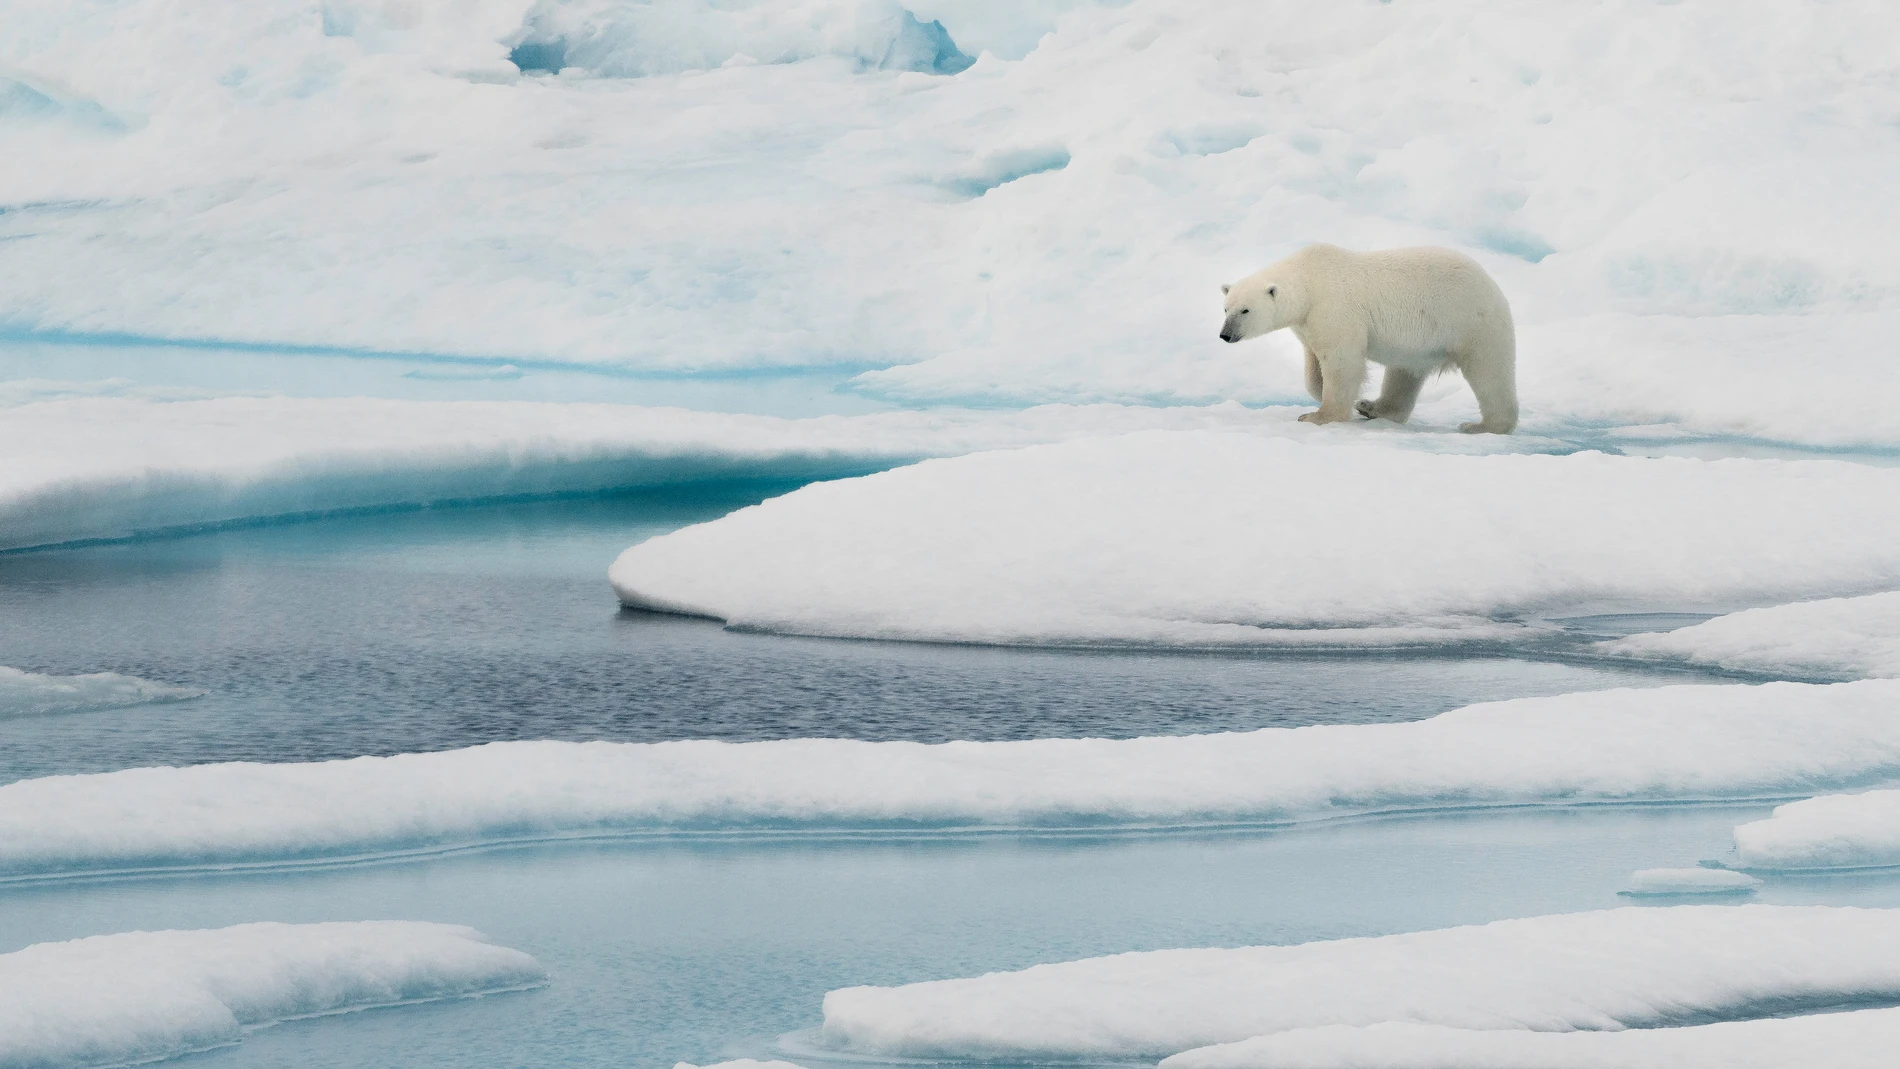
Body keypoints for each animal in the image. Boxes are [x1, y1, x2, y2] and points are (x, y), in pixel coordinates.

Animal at [1218, 244, 1517, 434]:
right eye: (1226, 308)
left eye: (1245, 310)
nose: (1225, 335)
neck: (1309, 281)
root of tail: (1492, 285)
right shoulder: (1308, 322)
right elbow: (1314, 363)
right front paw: (1337, 395)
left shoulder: (1334, 308)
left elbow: (1342, 361)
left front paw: (1318, 416)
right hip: (1420, 345)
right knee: (1403, 375)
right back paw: (1373, 408)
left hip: (1472, 323)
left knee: (1490, 374)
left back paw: (1482, 426)